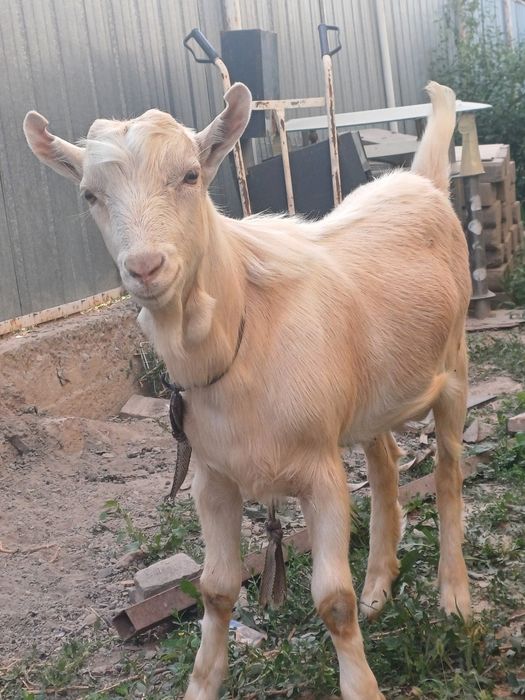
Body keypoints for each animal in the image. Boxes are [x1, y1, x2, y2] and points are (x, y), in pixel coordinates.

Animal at [24, 81, 471, 699]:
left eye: (191, 175)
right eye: (90, 194)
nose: (146, 266)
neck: (239, 339)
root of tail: (422, 182)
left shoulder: (320, 472)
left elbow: (333, 600)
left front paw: (362, 686)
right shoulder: (213, 478)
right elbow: (215, 589)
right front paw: (202, 684)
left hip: (453, 367)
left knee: (448, 473)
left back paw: (455, 599)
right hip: (369, 397)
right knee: (384, 464)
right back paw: (379, 585)